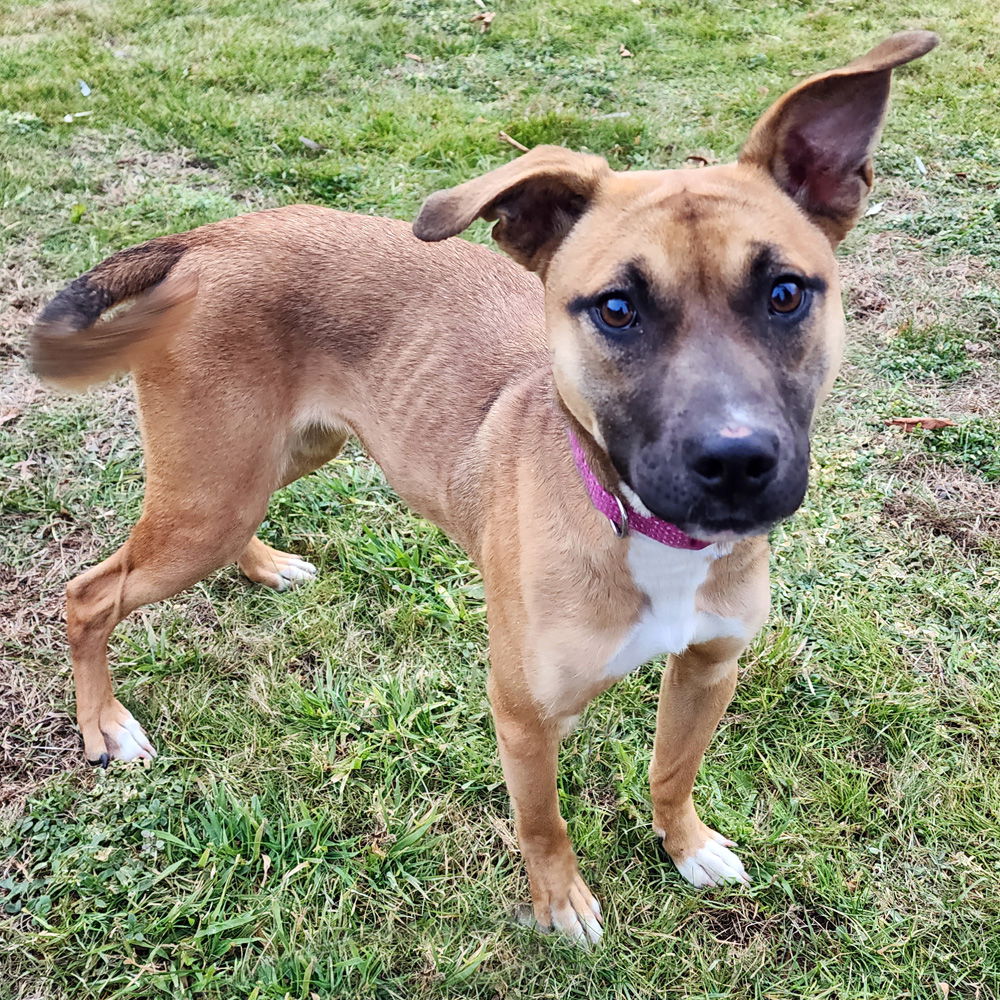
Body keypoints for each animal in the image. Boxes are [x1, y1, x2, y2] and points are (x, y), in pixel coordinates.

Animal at [31, 31, 936, 944]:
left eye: (785, 293)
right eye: (616, 309)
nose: (736, 463)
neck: (642, 531)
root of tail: (211, 238)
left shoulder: (710, 667)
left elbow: (672, 770)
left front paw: (685, 846)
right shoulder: (524, 715)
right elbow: (544, 822)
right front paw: (560, 903)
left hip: (273, 458)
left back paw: (263, 565)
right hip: (211, 490)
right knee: (89, 595)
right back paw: (104, 724)